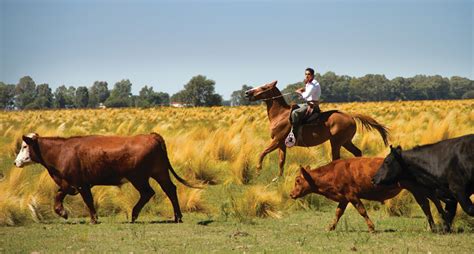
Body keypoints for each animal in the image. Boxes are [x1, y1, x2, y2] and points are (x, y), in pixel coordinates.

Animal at [13, 132, 198, 223]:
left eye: (24, 146)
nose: (16, 162)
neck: (62, 151)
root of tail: (151, 135)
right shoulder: (70, 183)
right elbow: (59, 195)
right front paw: (62, 212)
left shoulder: (79, 183)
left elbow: (87, 200)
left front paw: (93, 219)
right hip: (159, 172)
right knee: (170, 190)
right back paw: (177, 217)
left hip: (139, 177)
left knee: (149, 193)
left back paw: (134, 215)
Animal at [244, 81, 388, 179]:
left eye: (264, 87)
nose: (247, 92)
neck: (280, 115)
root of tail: (350, 116)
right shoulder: (281, 144)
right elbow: (281, 161)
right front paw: (278, 178)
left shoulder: (276, 141)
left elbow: (262, 153)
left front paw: (258, 170)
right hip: (346, 142)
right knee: (357, 152)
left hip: (336, 142)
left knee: (337, 158)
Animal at [288, 158, 444, 233]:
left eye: (298, 180)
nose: (291, 194)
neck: (334, 172)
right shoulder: (344, 198)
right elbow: (338, 213)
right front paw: (330, 227)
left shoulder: (352, 196)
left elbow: (362, 211)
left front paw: (371, 228)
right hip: (420, 188)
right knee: (433, 200)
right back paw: (442, 221)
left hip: (417, 189)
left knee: (426, 204)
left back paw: (434, 226)